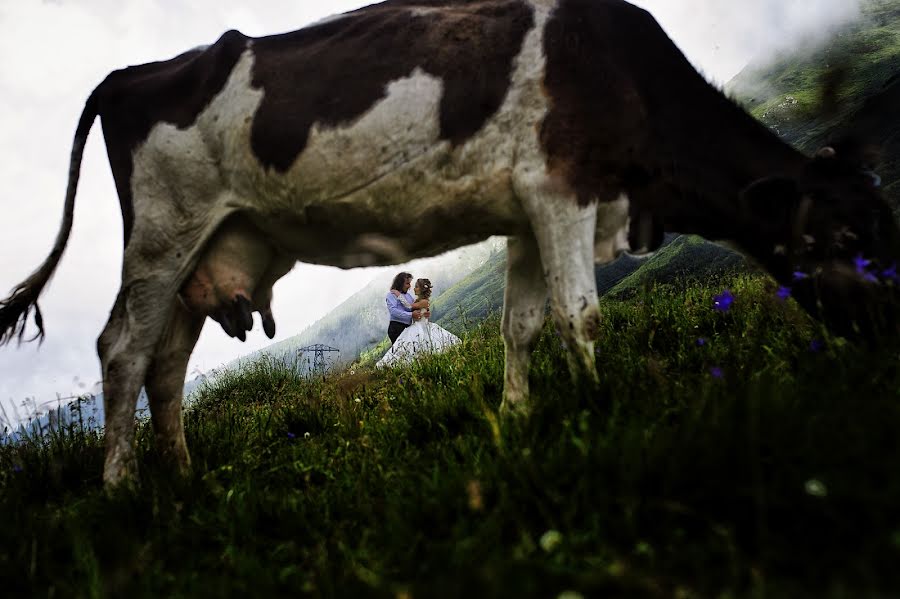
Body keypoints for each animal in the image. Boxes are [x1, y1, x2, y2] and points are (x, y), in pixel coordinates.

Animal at [1, 1, 900, 488]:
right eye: (846, 234)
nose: (888, 335)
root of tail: (135, 72)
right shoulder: (562, 188)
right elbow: (581, 316)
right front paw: (609, 408)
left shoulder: (531, 211)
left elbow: (523, 325)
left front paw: (520, 417)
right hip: (163, 230)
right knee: (123, 347)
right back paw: (121, 487)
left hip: (213, 243)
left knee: (166, 363)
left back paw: (182, 477)